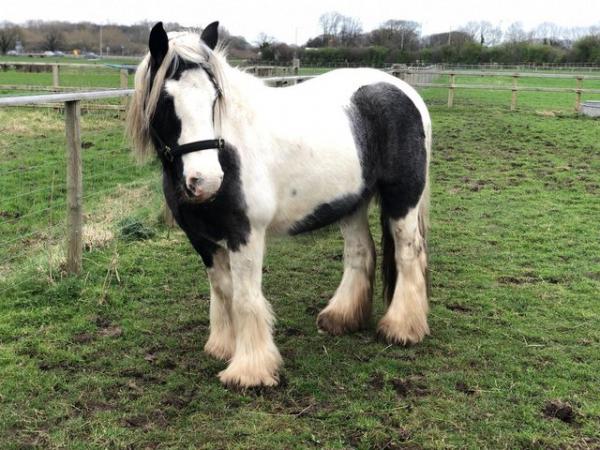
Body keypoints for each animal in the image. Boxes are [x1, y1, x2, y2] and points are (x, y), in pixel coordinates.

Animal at [127, 22, 432, 386]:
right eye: (165, 100)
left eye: (215, 97)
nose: (206, 180)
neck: (229, 150)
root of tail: (405, 91)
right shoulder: (201, 239)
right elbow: (223, 290)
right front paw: (224, 347)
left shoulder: (245, 234)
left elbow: (245, 297)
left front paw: (249, 370)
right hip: (351, 203)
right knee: (360, 252)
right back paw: (341, 318)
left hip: (404, 199)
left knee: (408, 253)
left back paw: (402, 328)